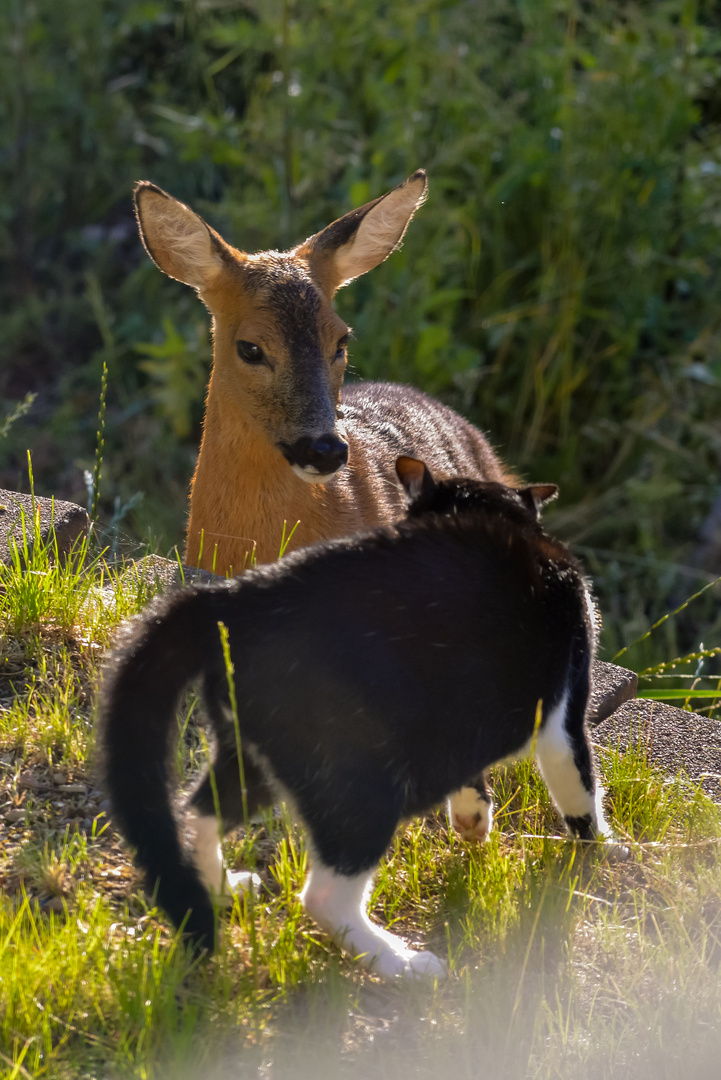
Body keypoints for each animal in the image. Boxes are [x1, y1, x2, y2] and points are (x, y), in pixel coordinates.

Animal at [102, 455, 621, 980]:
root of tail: (237, 596)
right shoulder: (563, 708)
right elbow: (579, 789)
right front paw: (603, 846)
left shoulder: (463, 718)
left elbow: (470, 778)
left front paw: (473, 820)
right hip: (361, 777)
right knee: (324, 895)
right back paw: (402, 963)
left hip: (261, 749)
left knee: (199, 810)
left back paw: (223, 888)